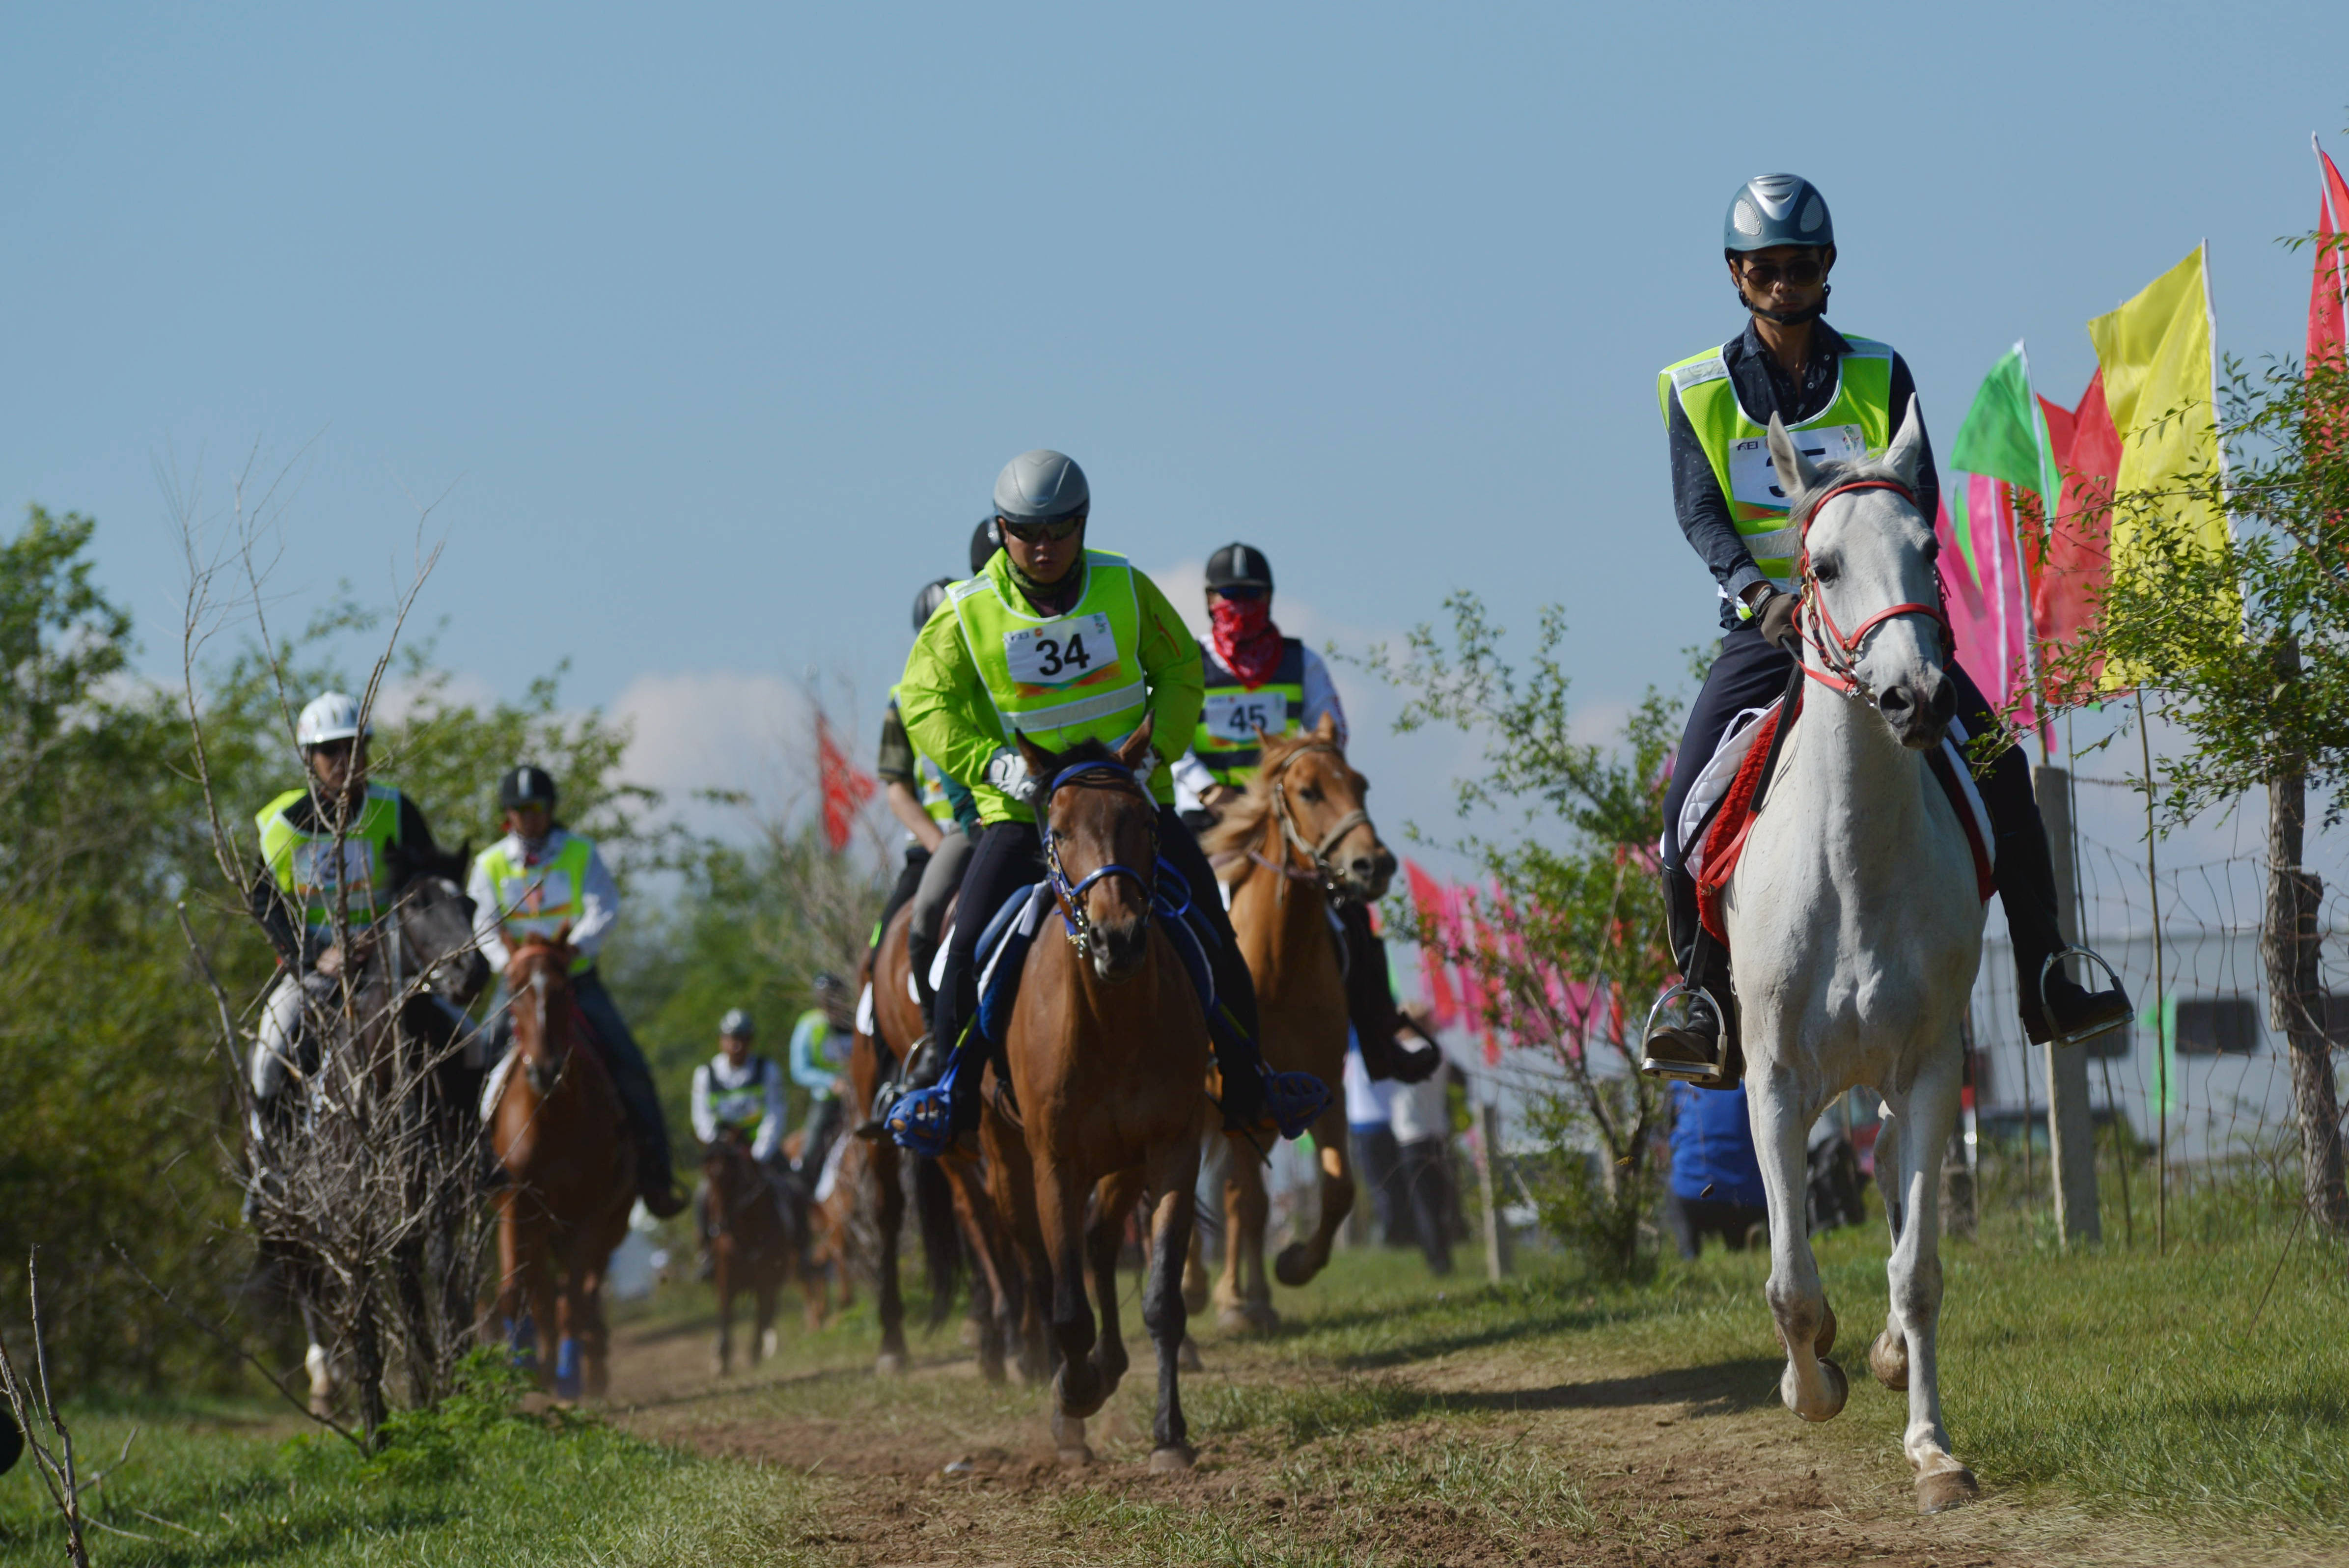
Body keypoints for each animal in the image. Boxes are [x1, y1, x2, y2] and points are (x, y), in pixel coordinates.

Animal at [486, 938, 634, 1399]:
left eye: (564, 990)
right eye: (513, 990)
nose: (546, 1069)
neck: (553, 1117)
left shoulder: (590, 1213)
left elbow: (575, 1296)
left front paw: (571, 1377)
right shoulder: (515, 1205)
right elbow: (518, 1290)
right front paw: (526, 1365)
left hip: (610, 1222)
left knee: (583, 1290)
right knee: (542, 1290)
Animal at [982, 718, 1212, 1474]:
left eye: (1145, 821)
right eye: (1056, 827)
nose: (1118, 938)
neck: (1111, 1024)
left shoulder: (1170, 1148)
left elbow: (1162, 1296)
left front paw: (1169, 1434)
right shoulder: (1055, 1162)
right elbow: (1065, 1307)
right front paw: (1072, 1397)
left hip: (1121, 1161)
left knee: (1101, 1241)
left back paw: (1108, 1367)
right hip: (1009, 1162)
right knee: (1037, 1262)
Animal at [1202, 718, 1381, 1333]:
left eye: (1360, 783)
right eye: (1307, 791)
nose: (1373, 864)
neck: (1276, 970)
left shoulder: (1320, 1086)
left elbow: (1341, 1188)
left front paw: (1295, 1266)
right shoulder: (1232, 1100)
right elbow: (1247, 1200)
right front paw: (1237, 1303)